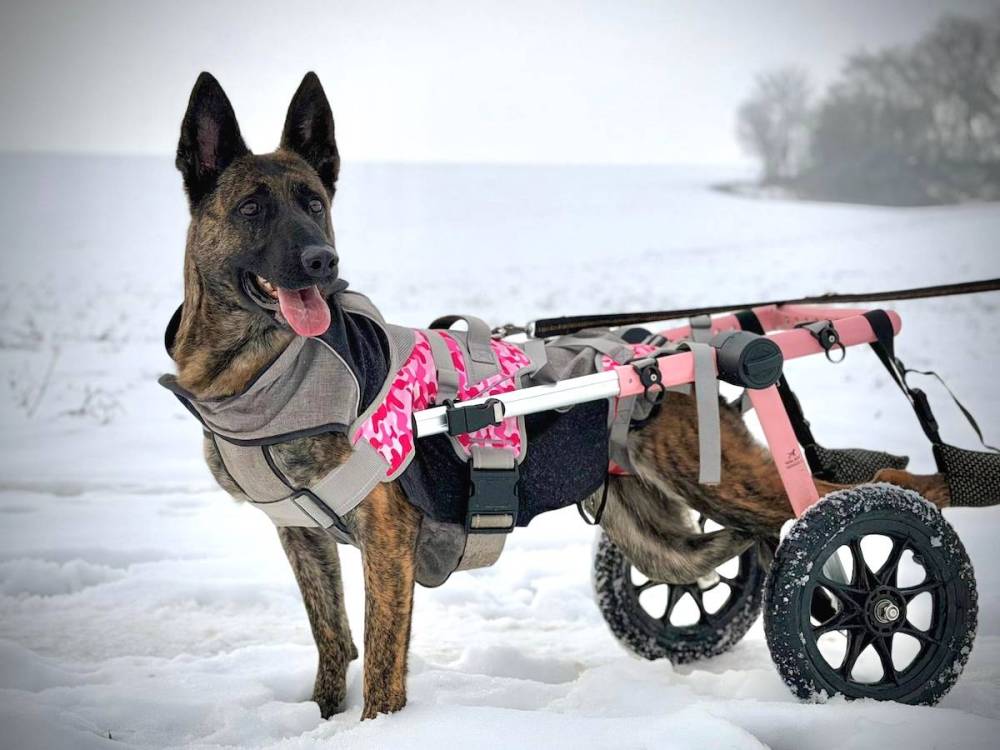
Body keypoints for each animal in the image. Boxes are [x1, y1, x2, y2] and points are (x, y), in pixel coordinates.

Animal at [168, 71, 952, 720]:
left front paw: (375, 731)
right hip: (656, 521)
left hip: (725, 479)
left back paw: (913, 536)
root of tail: (658, 350)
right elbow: (333, 646)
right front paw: (324, 721)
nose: (322, 262)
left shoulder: (386, 541)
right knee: (723, 547)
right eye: (252, 209)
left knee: (860, 491)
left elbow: (382, 664)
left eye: (314, 203)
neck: (264, 372)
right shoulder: (302, 536)